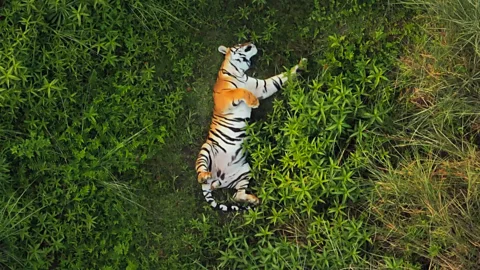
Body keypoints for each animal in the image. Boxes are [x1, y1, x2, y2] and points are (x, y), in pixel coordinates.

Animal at [196, 41, 306, 211]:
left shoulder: (261, 87)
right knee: (200, 171)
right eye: (240, 43)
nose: (252, 43)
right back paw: (204, 176)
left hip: (245, 170)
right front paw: (254, 102)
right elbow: (239, 91)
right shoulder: (225, 97)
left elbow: (278, 79)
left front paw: (301, 65)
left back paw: (255, 200)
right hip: (206, 149)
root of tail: (216, 179)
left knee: (237, 195)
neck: (239, 73)